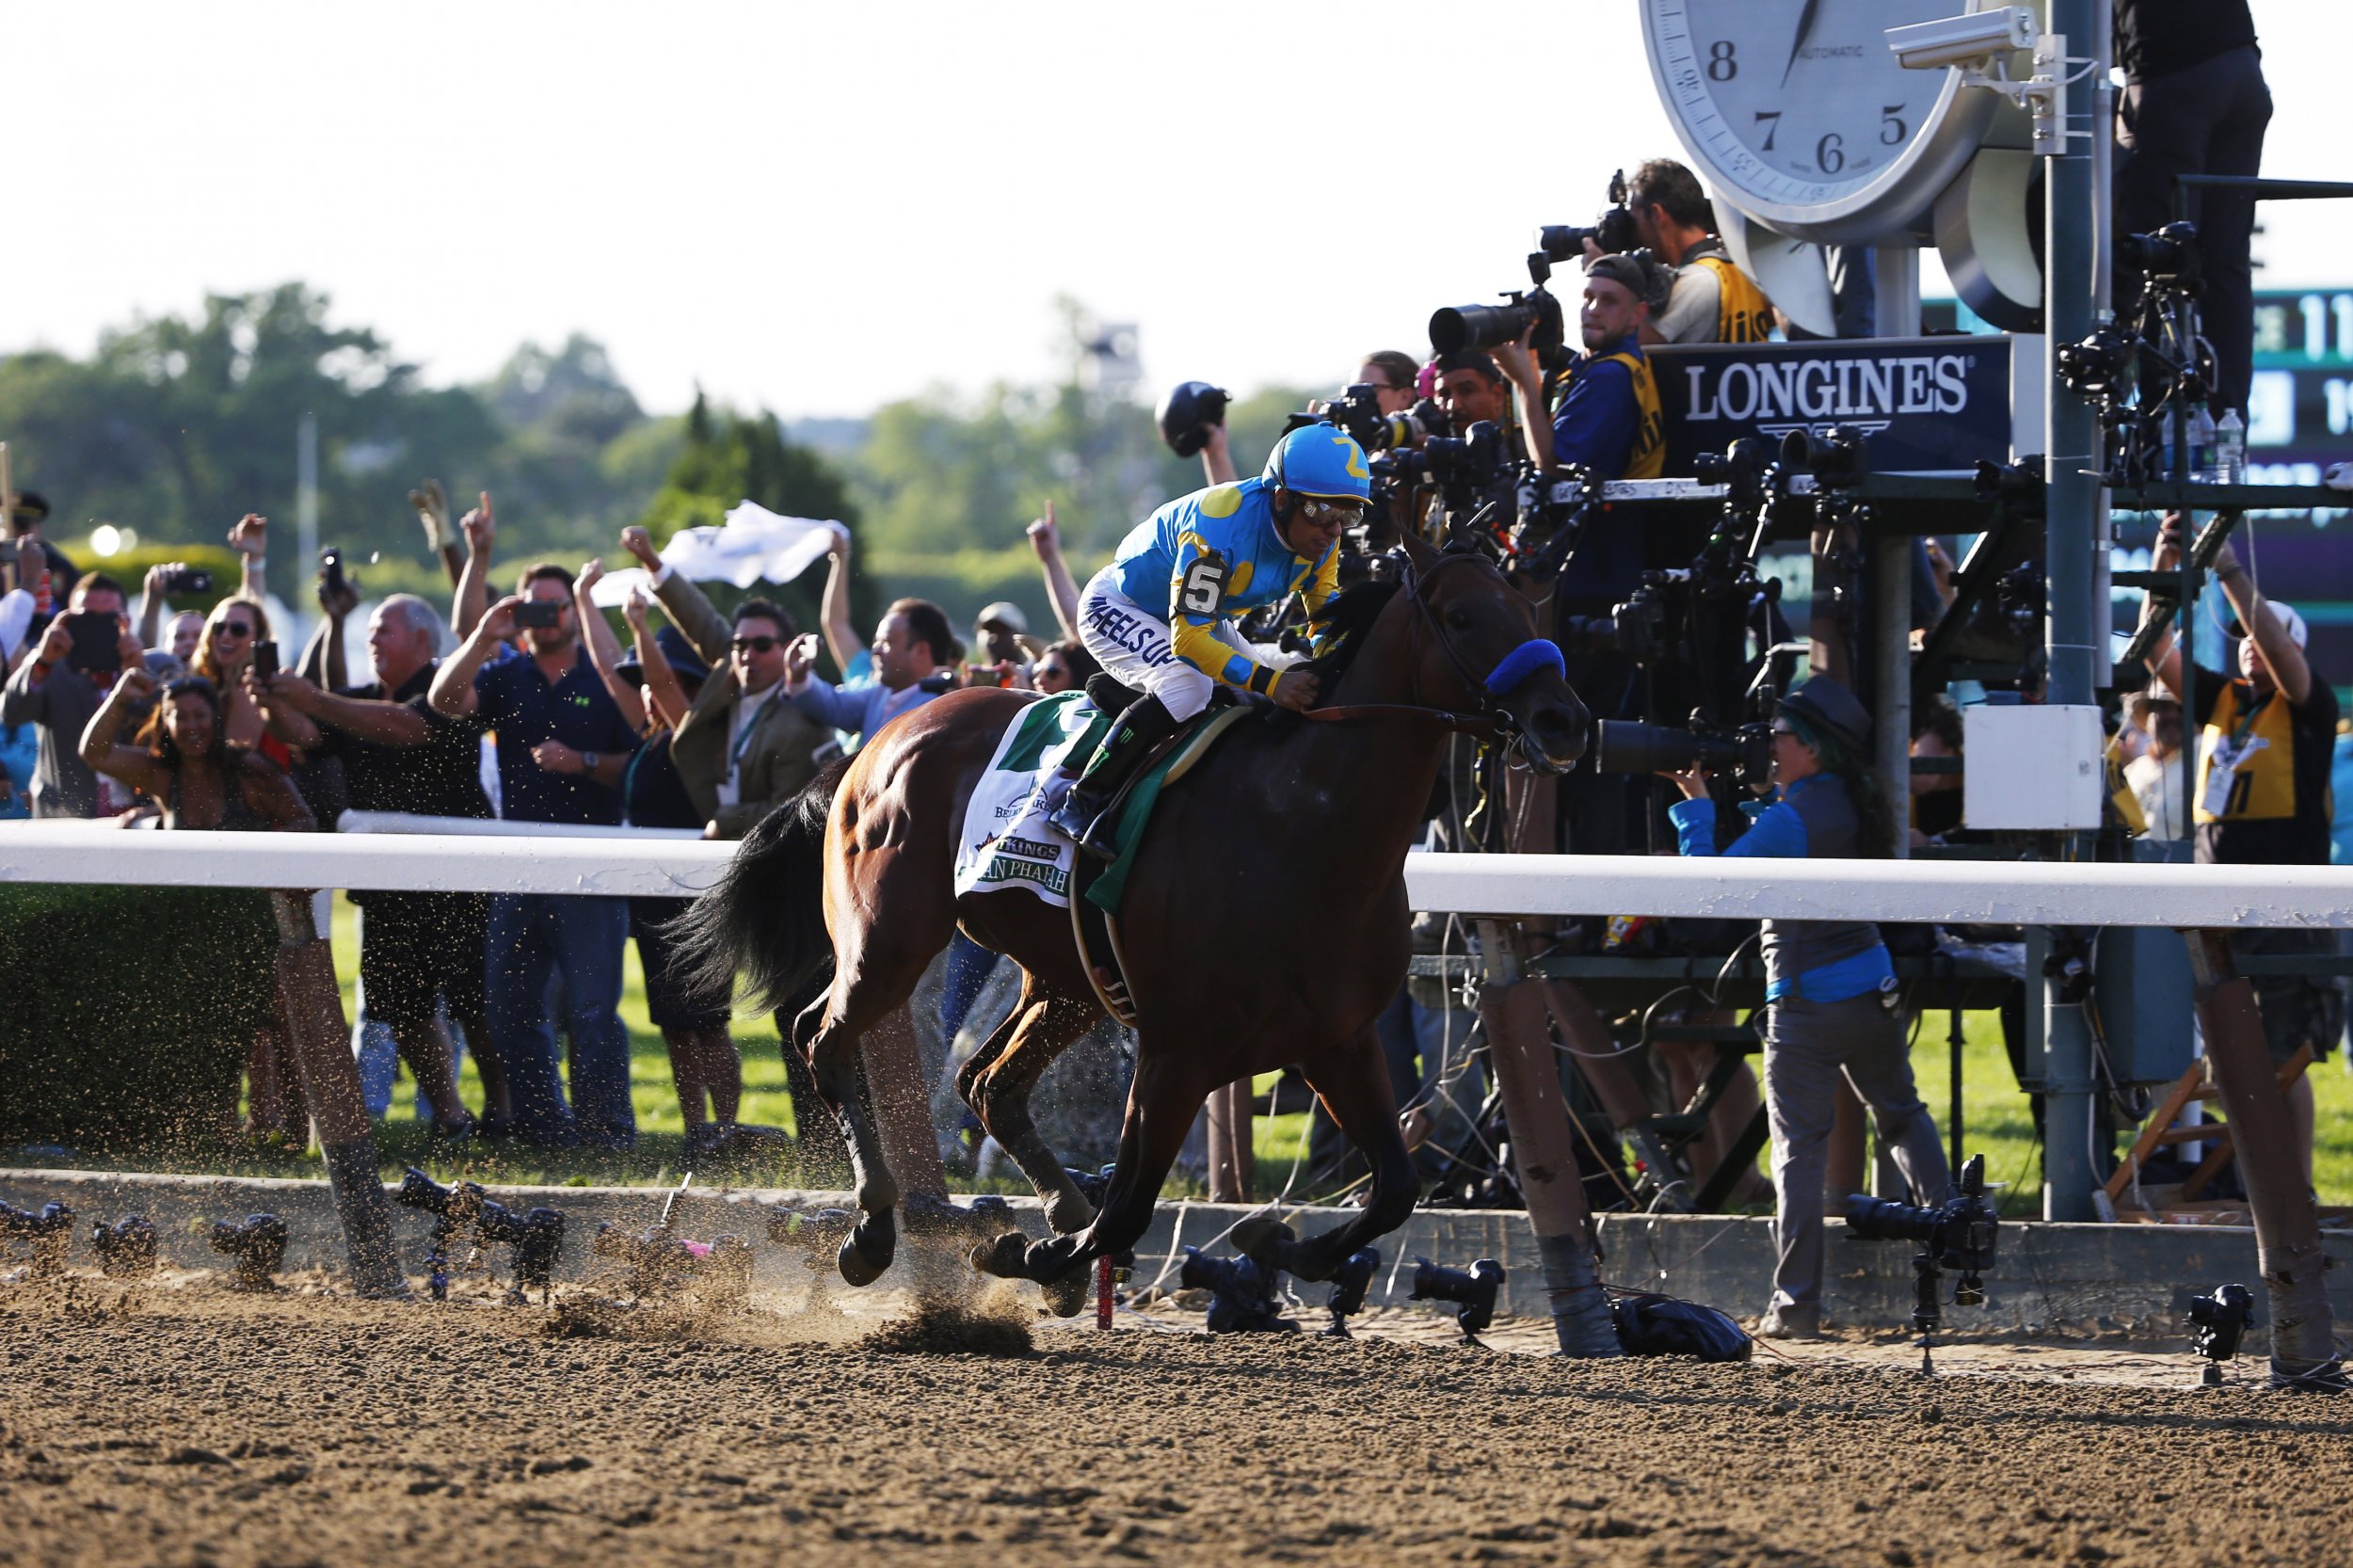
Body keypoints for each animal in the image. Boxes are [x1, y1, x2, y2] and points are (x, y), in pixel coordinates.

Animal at [687, 532, 1591, 1299]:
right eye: (1463, 616)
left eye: (1525, 606)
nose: (1564, 719)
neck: (1299, 830)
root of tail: (874, 741)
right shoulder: (1177, 1050)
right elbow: (1128, 1209)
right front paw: (1034, 1255)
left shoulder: (1337, 1036)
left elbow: (1397, 1187)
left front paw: (1278, 1244)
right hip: (889, 941)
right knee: (826, 1037)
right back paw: (875, 1231)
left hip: (1066, 977)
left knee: (987, 1084)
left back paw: (1041, 1216)